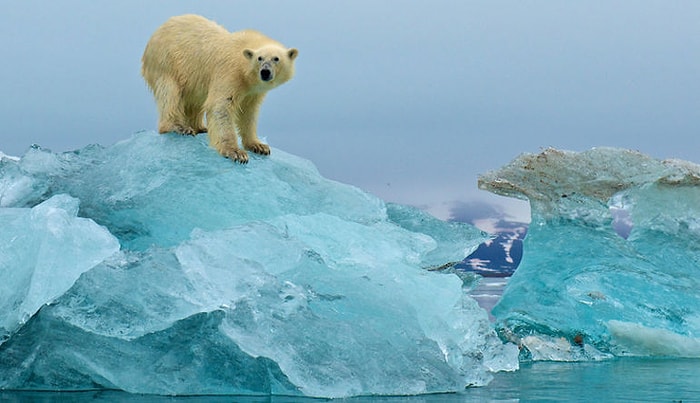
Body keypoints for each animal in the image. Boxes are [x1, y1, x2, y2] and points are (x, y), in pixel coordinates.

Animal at [141, 14, 296, 163]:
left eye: (276, 58)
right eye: (260, 58)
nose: (265, 72)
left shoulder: (253, 91)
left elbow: (248, 113)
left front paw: (259, 146)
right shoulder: (229, 72)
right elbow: (221, 106)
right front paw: (236, 153)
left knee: (194, 101)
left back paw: (200, 127)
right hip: (167, 62)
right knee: (170, 93)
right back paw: (179, 127)